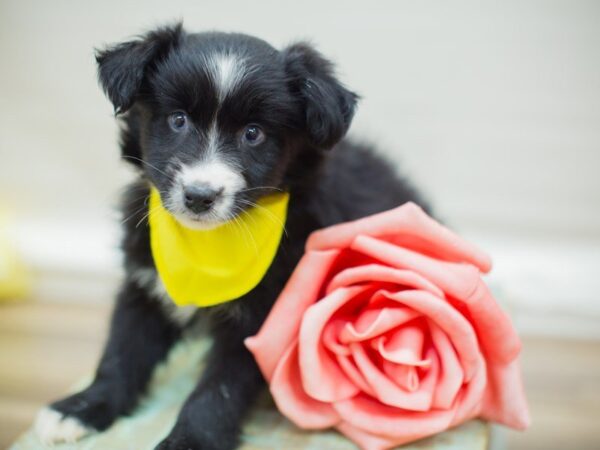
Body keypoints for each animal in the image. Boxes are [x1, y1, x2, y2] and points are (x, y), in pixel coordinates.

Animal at [35, 22, 428, 448]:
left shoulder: (263, 315)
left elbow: (220, 387)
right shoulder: (145, 282)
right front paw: (82, 408)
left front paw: (190, 440)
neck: (208, 248)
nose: (199, 196)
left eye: (253, 133)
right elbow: (123, 350)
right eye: (178, 120)